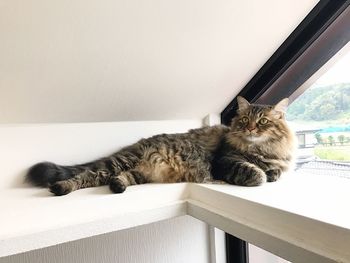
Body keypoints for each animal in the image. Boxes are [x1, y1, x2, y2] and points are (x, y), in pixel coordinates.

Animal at [26, 97, 296, 196]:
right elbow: (256, 174)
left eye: (263, 121)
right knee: (86, 176)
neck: (260, 150)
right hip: (118, 163)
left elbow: (274, 172)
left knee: (117, 177)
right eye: (244, 120)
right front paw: (259, 174)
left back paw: (118, 186)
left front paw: (270, 172)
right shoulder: (224, 161)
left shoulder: (277, 164)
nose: (250, 129)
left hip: (139, 173)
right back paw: (61, 187)